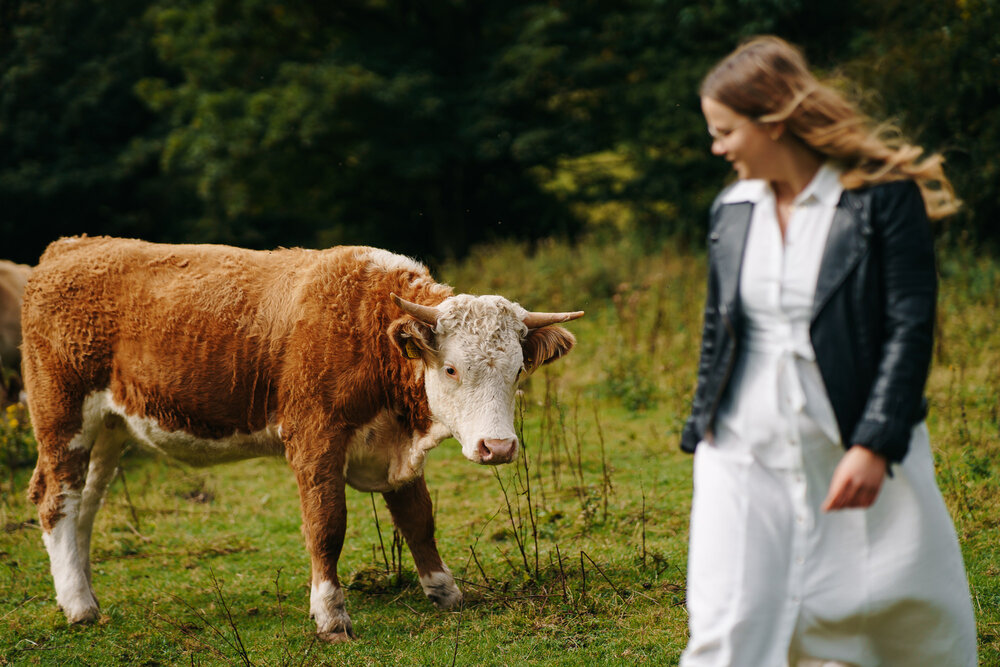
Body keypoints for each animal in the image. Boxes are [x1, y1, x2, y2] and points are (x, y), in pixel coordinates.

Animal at [23, 236, 584, 640]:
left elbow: (418, 519)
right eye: (450, 368)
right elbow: (326, 525)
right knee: (57, 499)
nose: (498, 448)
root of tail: (71, 247)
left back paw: (84, 592)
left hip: (108, 429)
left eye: (516, 370)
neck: (366, 329)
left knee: (85, 506)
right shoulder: (314, 438)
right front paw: (331, 616)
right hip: (62, 415)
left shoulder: (396, 454)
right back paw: (79, 606)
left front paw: (443, 590)